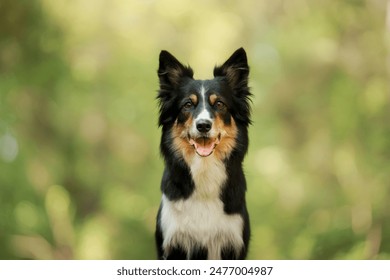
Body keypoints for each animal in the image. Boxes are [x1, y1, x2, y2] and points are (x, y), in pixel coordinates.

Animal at [154, 47, 251, 260]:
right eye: (188, 105)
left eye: (220, 104)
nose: (203, 125)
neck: (204, 169)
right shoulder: (174, 243)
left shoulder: (231, 243)